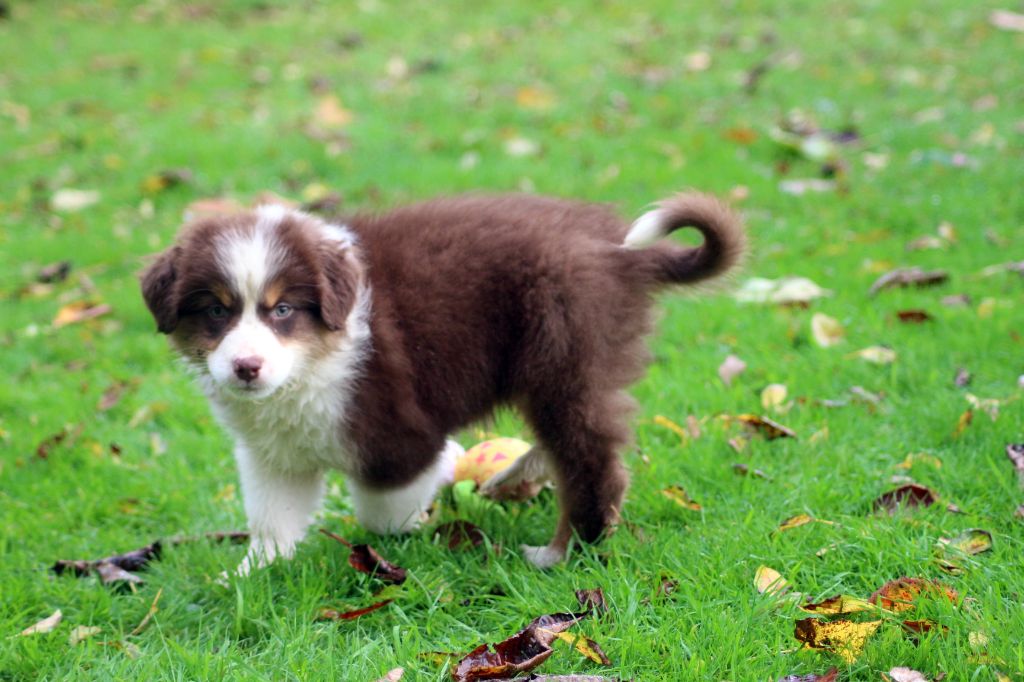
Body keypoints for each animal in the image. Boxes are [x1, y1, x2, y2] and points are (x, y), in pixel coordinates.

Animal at [142, 188, 745, 569]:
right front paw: (250, 576)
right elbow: (274, 519)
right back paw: (518, 477)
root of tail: (621, 254)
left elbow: (383, 512)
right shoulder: (274, 454)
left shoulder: (394, 430)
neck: (313, 362)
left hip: (563, 362)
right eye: (216, 312)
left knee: (592, 461)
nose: (246, 368)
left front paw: (425, 503)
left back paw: (561, 552)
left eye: (283, 310)